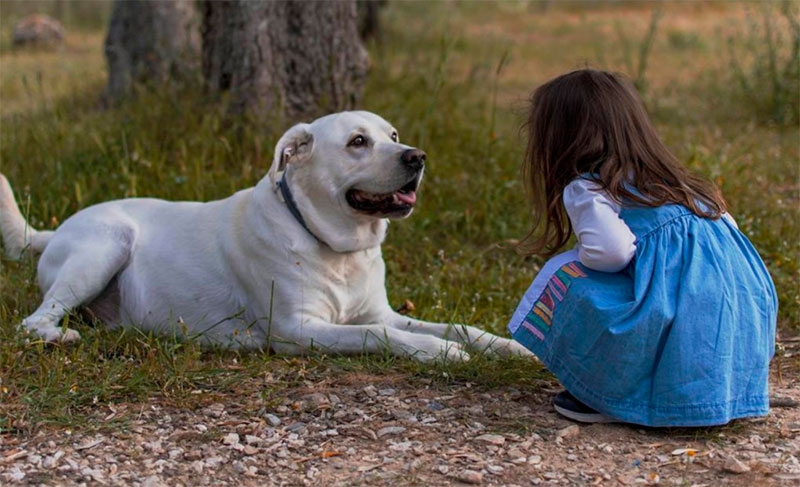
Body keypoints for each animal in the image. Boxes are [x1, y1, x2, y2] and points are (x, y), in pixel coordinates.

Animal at [1, 111, 532, 362]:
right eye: (358, 142)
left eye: (394, 135)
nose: (417, 157)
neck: (336, 248)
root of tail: (56, 229)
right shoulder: (298, 329)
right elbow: (377, 335)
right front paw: (437, 352)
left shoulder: (381, 311)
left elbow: (456, 326)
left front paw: (506, 347)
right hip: (106, 245)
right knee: (33, 321)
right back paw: (60, 336)